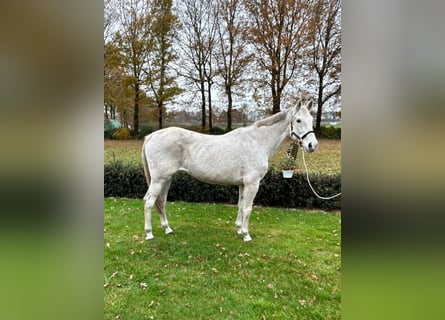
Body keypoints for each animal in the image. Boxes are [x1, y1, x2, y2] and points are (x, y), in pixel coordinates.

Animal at [140, 99, 318, 241]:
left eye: (311, 119)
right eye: (298, 120)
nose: (312, 145)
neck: (257, 142)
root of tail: (152, 136)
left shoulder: (242, 184)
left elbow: (240, 206)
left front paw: (239, 229)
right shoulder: (252, 183)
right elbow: (248, 208)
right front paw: (246, 235)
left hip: (167, 179)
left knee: (161, 201)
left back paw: (167, 229)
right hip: (159, 180)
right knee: (149, 202)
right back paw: (149, 234)